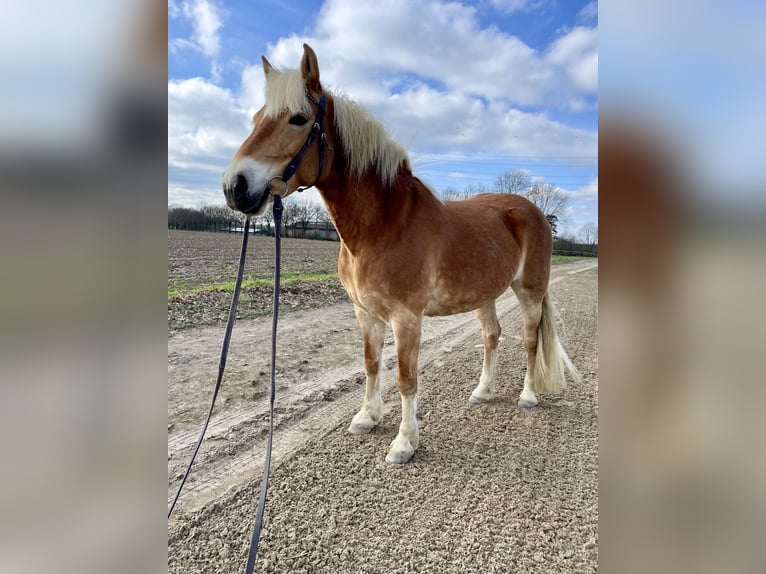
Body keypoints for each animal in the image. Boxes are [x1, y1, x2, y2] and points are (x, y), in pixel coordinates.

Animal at [222, 46, 584, 468]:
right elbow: (371, 364)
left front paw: (404, 443)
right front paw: (366, 417)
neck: (383, 226)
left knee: (528, 341)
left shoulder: (406, 318)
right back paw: (483, 391)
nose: (235, 187)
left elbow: (406, 379)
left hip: (529, 292)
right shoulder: (365, 313)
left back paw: (527, 396)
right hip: (484, 294)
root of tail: (532, 211)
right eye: (255, 119)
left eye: (298, 118)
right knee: (491, 336)